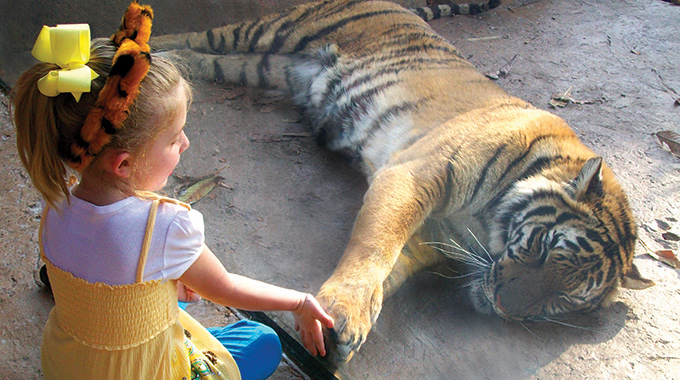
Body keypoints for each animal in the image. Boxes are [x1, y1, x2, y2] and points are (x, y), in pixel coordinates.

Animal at [153, 0, 652, 364]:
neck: (487, 226)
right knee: (200, 36)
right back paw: (141, 47)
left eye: (565, 298)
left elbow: (390, 269)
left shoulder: (432, 236)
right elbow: (376, 245)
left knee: (210, 59)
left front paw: (342, 328)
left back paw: (170, 62)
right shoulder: (415, 174)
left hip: (267, 66)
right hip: (278, 28)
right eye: (546, 248)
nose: (504, 306)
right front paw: (343, 311)